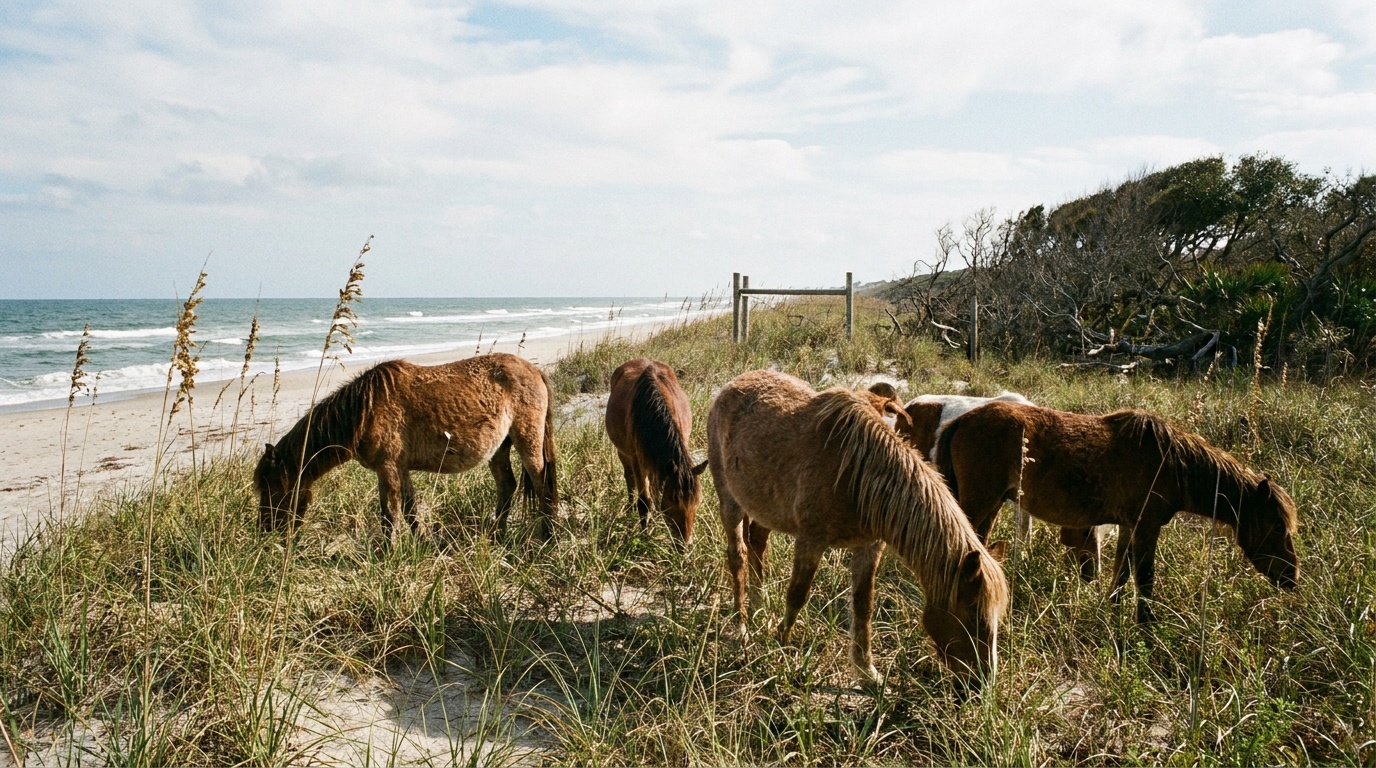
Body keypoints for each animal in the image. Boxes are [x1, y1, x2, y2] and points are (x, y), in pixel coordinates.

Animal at [254, 353, 559, 544]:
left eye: (273, 489)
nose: (266, 530)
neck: (363, 410)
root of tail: (534, 370)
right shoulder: (400, 468)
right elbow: (411, 511)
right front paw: (424, 544)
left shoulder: (387, 468)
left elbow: (390, 514)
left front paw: (387, 554)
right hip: (499, 450)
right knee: (507, 487)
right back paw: (496, 536)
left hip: (528, 441)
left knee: (542, 483)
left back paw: (549, 537)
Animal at [605, 358, 706, 546]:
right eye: (673, 501)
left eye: (697, 502)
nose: (683, 545)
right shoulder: (638, 461)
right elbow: (644, 502)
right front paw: (644, 536)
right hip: (624, 453)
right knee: (629, 477)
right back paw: (630, 507)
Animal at [708, 370, 1009, 684]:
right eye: (973, 614)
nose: (983, 681)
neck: (859, 475)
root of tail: (732, 385)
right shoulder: (811, 541)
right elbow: (797, 595)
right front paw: (781, 646)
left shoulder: (869, 547)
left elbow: (864, 607)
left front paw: (867, 671)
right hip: (730, 501)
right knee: (738, 558)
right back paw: (742, 625)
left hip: (764, 510)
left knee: (757, 546)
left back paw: (758, 609)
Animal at [936, 401, 1298, 622]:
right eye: (1277, 528)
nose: (1292, 579)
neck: (1170, 461)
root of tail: (962, 421)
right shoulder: (1147, 527)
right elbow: (1145, 577)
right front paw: (1146, 626)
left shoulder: (1128, 526)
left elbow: (1122, 573)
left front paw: (1112, 611)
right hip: (981, 502)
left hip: (991, 505)